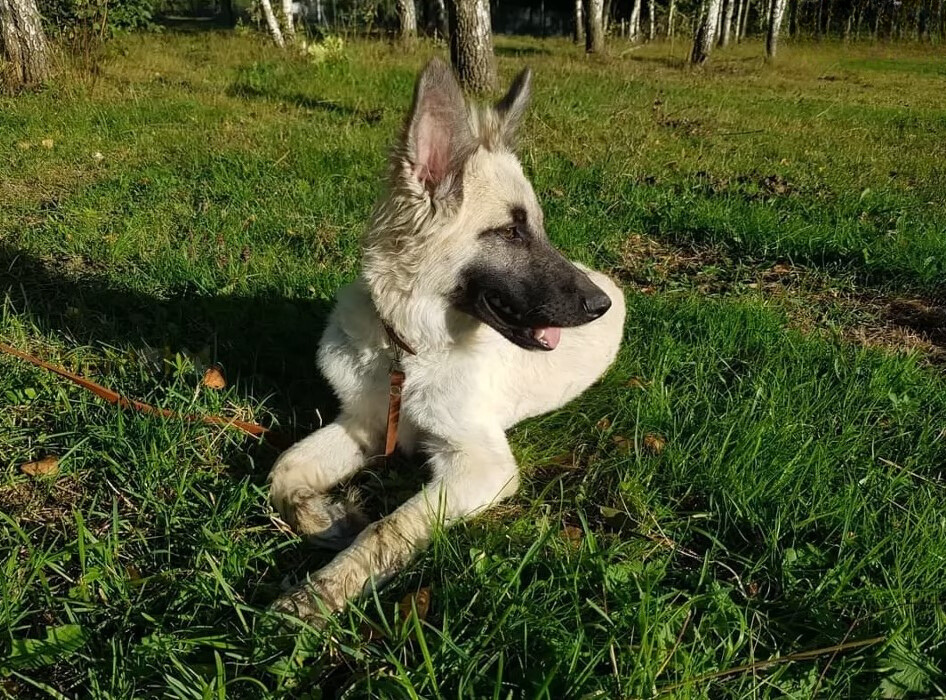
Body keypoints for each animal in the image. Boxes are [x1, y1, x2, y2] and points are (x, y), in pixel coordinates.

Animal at [266, 56, 624, 624]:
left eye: (537, 228)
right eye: (511, 232)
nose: (600, 306)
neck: (410, 352)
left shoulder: (481, 465)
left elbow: (389, 526)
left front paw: (321, 591)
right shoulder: (366, 425)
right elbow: (283, 470)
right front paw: (327, 516)